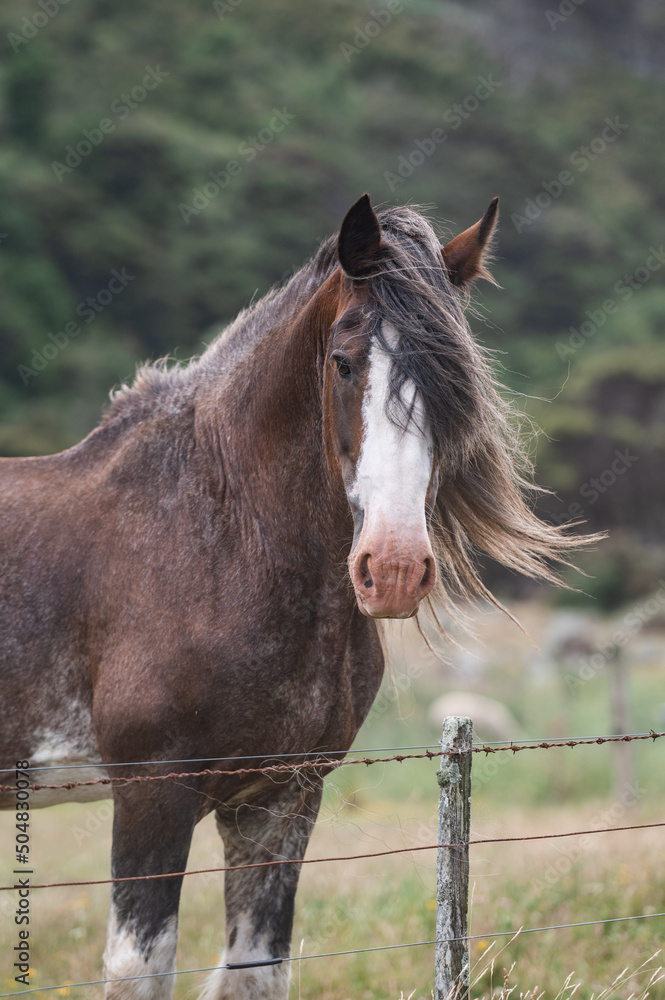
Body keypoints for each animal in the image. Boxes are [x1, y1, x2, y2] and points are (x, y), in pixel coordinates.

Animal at [0, 194, 589, 999]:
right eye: (342, 363)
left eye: (454, 380)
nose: (392, 569)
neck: (217, 536)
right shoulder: (152, 791)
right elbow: (140, 969)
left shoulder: (279, 798)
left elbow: (255, 971)